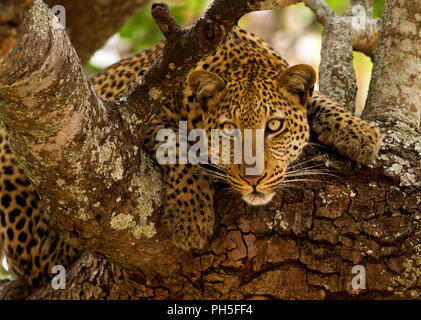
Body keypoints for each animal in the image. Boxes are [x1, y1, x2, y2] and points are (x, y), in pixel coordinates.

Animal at [0, 24, 380, 284]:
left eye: (274, 126)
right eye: (228, 128)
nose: (255, 180)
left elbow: (317, 100)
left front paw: (359, 131)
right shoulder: (129, 112)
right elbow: (176, 145)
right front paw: (191, 216)